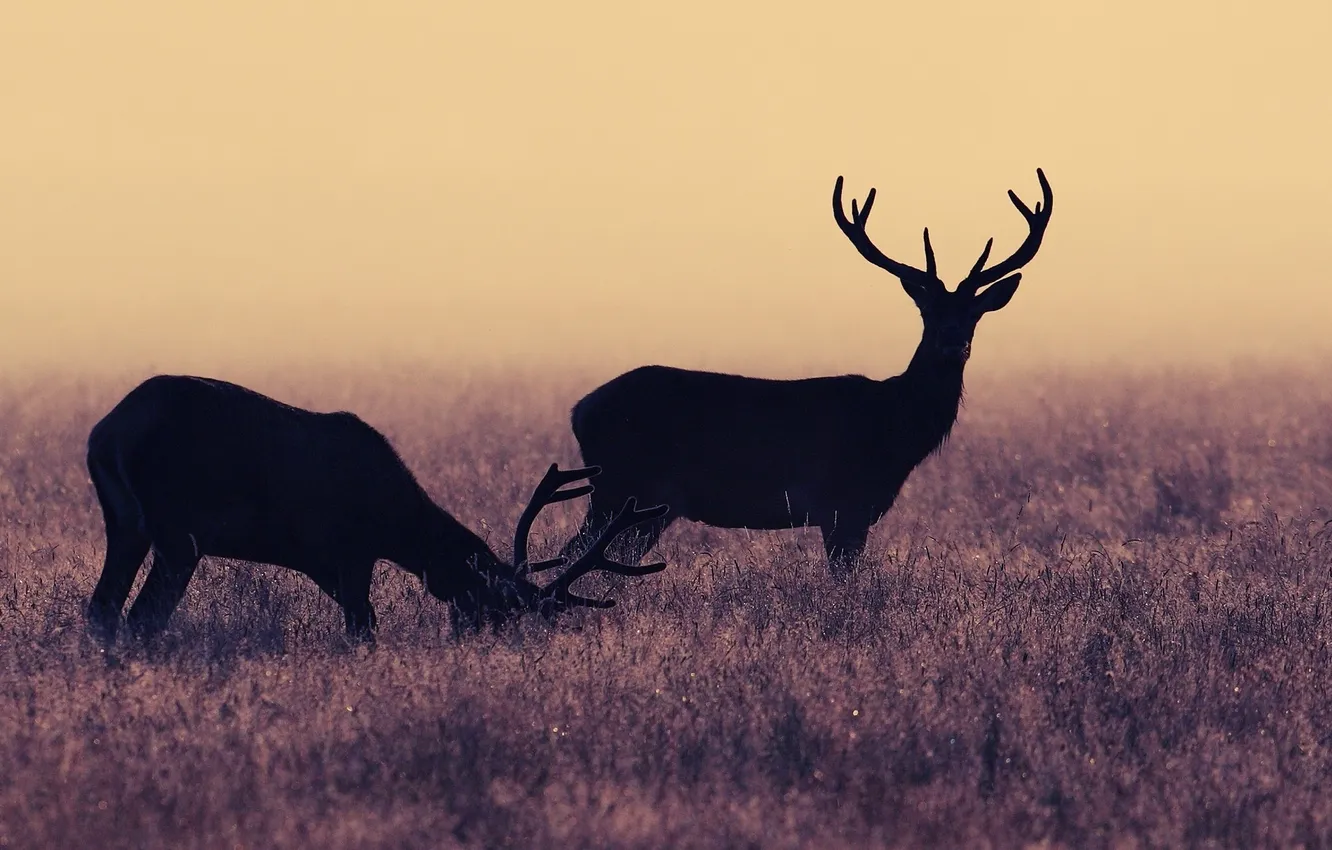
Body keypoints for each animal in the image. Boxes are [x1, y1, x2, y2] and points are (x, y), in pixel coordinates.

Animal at [84, 375, 670, 643]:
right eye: (497, 610)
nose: (475, 647)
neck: (395, 522)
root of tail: (109, 432)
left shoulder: (324, 562)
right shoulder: (350, 547)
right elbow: (362, 625)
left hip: (126, 524)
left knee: (103, 609)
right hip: (177, 530)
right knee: (143, 616)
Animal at [560, 169, 1053, 573]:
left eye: (974, 315)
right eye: (926, 311)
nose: (952, 343)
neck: (894, 430)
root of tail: (579, 410)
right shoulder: (844, 504)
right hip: (622, 487)